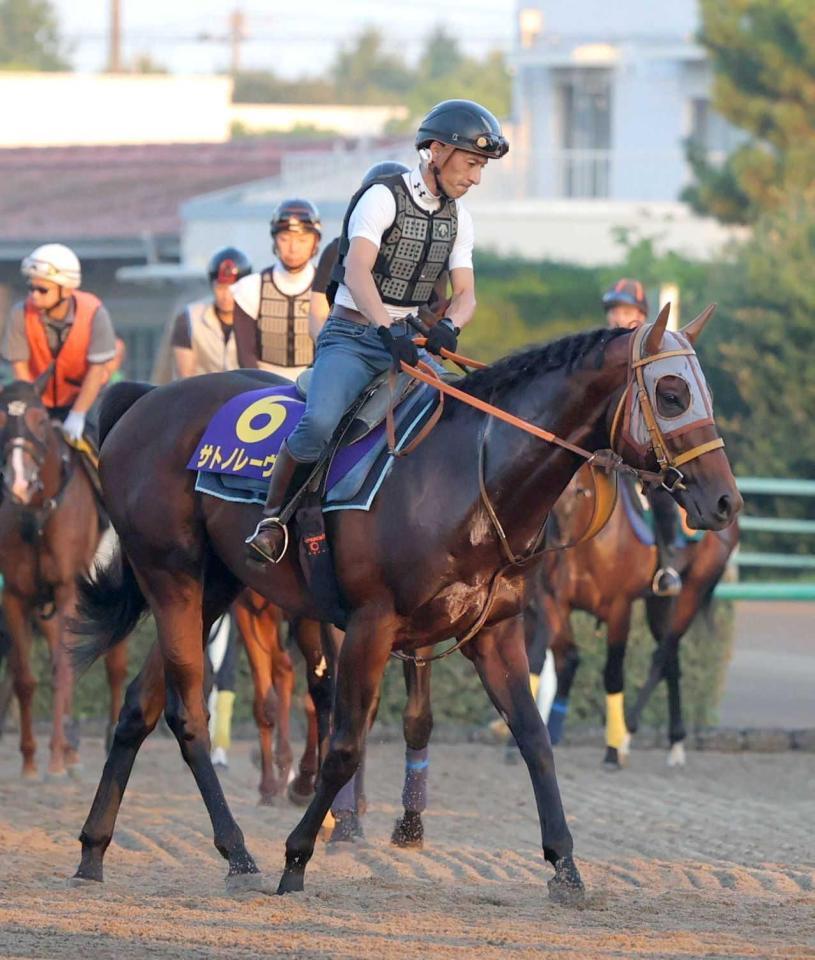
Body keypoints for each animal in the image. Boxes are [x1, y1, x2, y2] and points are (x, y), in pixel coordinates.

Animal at [0, 376, 127, 780]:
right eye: (0, 419)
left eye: (41, 420)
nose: (18, 483)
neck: (39, 513)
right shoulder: (16, 596)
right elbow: (25, 678)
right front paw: (29, 759)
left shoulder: (69, 589)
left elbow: (63, 672)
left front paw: (55, 755)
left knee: (114, 668)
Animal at [536, 462, 740, 768]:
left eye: (580, 490)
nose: (556, 538)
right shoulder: (555, 602)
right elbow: (567, 660)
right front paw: (550, 732)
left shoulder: (619, 607)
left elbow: (613, 674)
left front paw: (611, 750)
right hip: (659, 604)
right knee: (672, 662)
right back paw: (675, 742)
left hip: (692, 591)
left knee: (661, 657)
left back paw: (628, 734)